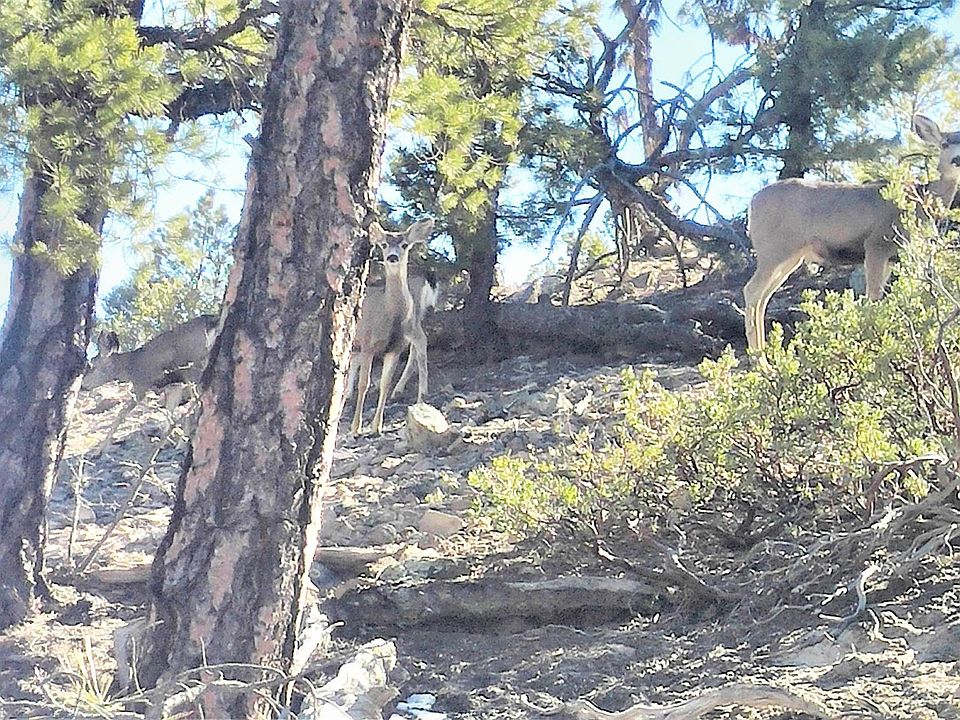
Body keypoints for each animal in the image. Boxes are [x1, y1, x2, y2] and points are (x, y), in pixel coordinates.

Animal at [81, 315, 218, 453]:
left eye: (92, 365)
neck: (129, 366)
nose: (82, 385)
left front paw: (100, 449)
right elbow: (169, 412)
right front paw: (165, 443)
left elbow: (121, 414)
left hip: (197, 365)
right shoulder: (174, 386)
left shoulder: (141, 385)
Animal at [346, 218, 434, 435]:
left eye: (404, 245)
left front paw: (376, 426)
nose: (392, 257)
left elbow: (384, 384)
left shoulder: (394, 348)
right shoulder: (368, 344)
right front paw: (355, 427)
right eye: (384, 244)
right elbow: (365, 383)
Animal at [744, 114, 960, 353]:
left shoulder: (894, 257)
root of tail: (752, 202)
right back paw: (758, 357)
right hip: (774, 250)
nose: (957, 160)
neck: (921, 202)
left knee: (763, 297)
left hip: (791, 256)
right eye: (944, 143)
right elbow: (873, 296)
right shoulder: (877, 244)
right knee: (751, 291)